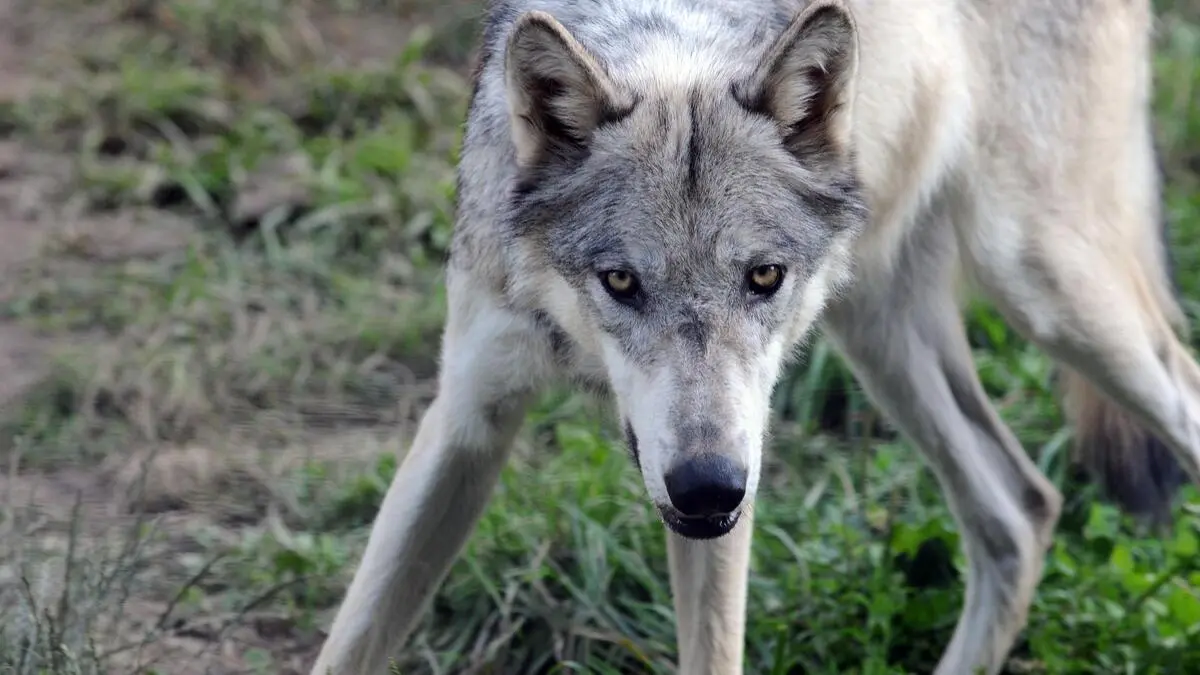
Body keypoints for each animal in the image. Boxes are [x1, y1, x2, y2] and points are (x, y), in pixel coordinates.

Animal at [310, 0, 1200, 673]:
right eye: (621, 282)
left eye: (763, 277)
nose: (708, 486)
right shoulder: (467, 417)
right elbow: (350, 642)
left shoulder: (729, 490)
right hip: (880, 331)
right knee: (1022, 508)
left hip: (1047, 289)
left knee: (1169, 397)